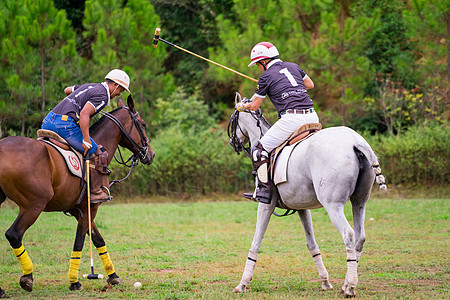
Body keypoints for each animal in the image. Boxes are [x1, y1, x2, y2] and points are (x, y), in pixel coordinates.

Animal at [0, 95, 155, 292]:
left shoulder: (79, 210)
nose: (151, 154)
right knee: (14, 234)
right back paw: (27, 278)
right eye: (142, 124)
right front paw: (74, 281)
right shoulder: (89, 207)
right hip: (34, 204)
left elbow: (98, 239)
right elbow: (80, 241)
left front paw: (113, 276)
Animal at [229, 93, 386, 298]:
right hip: (359, 202)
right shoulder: (301, 207)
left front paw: (242, 284)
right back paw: (346, 283)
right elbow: (311, 244)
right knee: (360, 236)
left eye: (233, 118)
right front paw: (325, 282)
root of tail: (355, 142)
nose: (233, 142)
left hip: (333, 204)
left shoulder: (266, 204)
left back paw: (350, 286)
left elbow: (256, 241)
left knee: (349, 234)